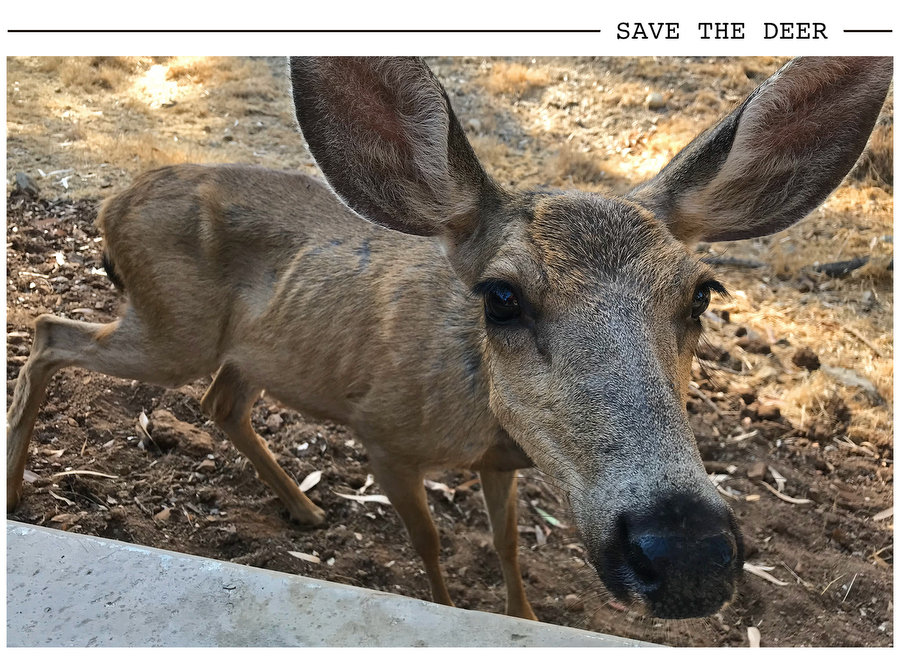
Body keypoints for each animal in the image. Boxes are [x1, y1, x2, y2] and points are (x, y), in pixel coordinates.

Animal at [7, 56, 891, 621]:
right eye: (501, 296)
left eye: (702, 292)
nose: (685, 555)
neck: (474, 415)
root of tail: (110, 201)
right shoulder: (384, 435)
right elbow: (432, 544)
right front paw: (445, 603)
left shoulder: (502, 463)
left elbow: (506, 544)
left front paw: (525, 615)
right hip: (169, 329)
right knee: (51, 330)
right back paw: (18, 490)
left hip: (249, 348)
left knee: (221, 402)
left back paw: (305, 509)